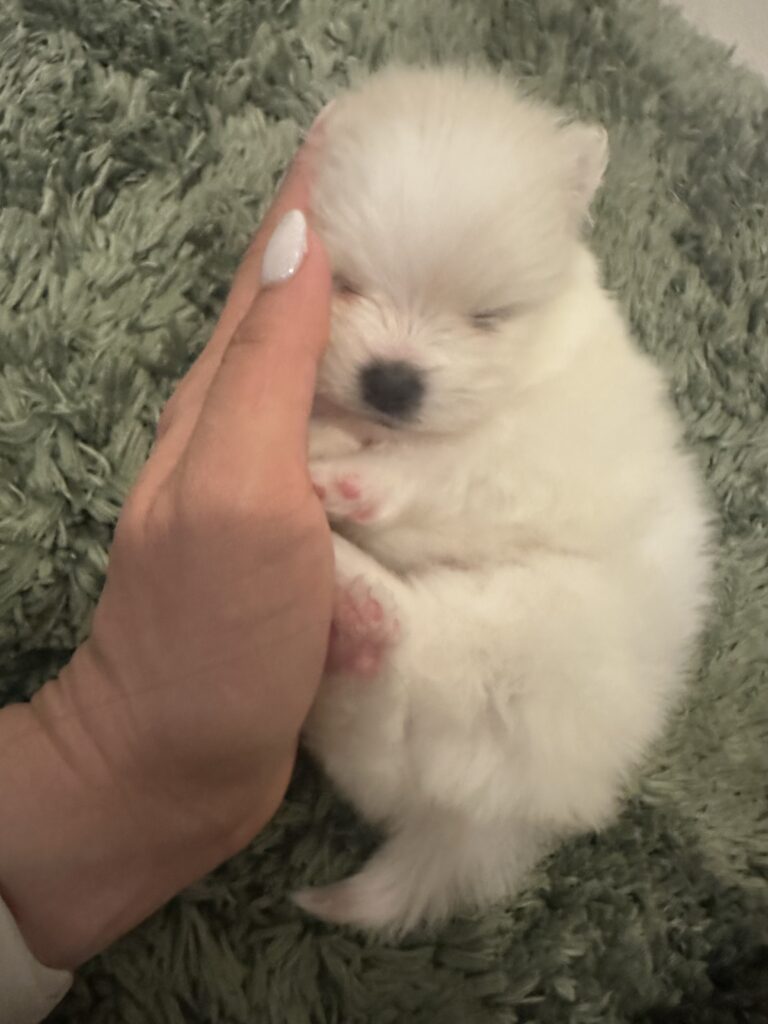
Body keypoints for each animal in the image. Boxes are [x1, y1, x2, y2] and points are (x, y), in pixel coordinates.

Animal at [293, 66, 712, 935]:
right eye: (344, 283)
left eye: (487, 316)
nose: (391, 382)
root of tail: (496, 824)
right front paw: (329, 436)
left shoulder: (525, 460)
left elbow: (445, 468)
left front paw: (352, 473)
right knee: (381, 735)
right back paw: (351, 620)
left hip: (532, 627)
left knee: (427, 645)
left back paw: (357, 576)